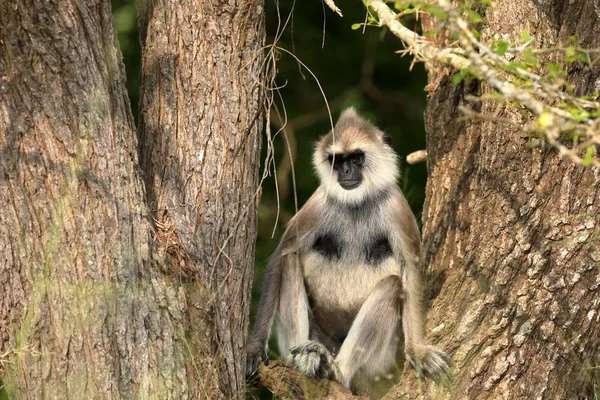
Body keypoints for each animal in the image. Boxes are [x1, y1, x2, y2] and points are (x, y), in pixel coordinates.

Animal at [245, 108, 450, 392]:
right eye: (336, 160)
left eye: (355, 157)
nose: (346, 170)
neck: (357, 202)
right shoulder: (319, 202)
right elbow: (282, 255)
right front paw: (254, 347)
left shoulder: (396, 205)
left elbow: (411, 269)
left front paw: (418, 351)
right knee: (290, 263)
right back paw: (305, 359)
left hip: (378, 362)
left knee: (392, 285)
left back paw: (335, 371)